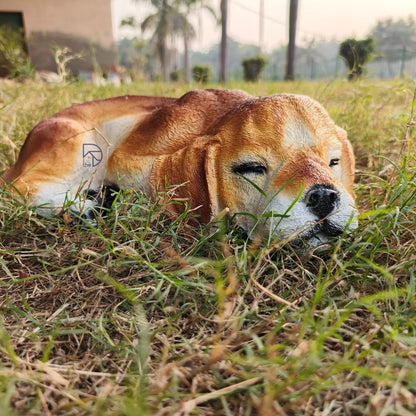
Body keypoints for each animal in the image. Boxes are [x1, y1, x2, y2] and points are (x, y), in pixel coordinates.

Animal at [0, 88, 358, 244]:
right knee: (19, 188)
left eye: (333, 162)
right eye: (251, 167)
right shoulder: (126, 158)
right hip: (78, 143)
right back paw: (83, 208)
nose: (324, 197)